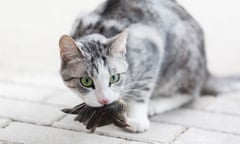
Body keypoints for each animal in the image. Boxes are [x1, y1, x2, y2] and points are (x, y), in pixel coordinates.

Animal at [58, 0, 240, 133]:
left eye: (114, 78)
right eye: (86, 81)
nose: (104, 100)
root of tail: (205, 69)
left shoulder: (152, 47)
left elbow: (142, 87)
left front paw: (137, 118)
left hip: (182, 56)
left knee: (190, 92)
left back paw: (156, 104)